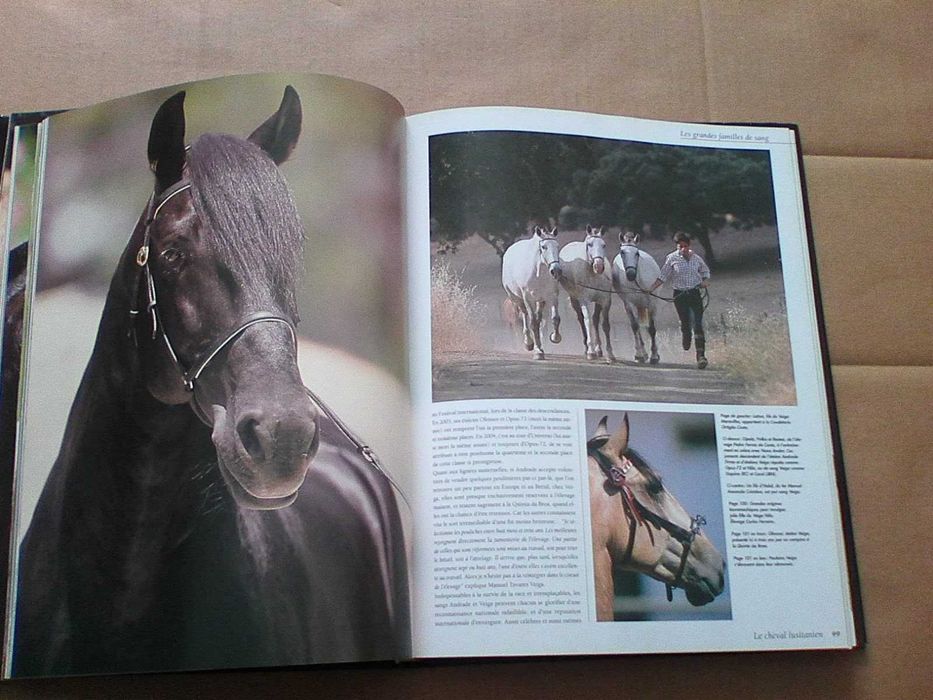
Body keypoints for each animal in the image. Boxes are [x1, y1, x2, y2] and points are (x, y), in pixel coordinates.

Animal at [501, 225, 562, 359]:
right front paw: (538, 351)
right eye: (544, 247)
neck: (539, 273)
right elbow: (533, 322)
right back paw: (529, 343)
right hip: (517, 299)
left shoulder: (552, 295)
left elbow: (555, 318)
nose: (556, 270)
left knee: (539, 319)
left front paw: (555, 337)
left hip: (540, 300)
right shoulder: (528, 298)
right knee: (525, 316)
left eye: (557, 246)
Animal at [558, 225, 614, 363]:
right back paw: (587, 347)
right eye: (589, 244)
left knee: (595, 319)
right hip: (574, 298)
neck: (593, 275)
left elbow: (605, 324)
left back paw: (599, 349)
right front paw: (590, 351)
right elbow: (587, 320)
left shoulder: (605, 301)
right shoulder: (584, 300)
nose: (599, 266)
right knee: (581, 319)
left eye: (604, 245)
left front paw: (610, 354)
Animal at [612, 230, 661, 364]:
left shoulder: (652, 303)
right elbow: (635, 326)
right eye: (622, 252)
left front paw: (655, 356)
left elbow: (652, 328)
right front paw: (639, 355)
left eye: (636, 253)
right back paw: (643, 354)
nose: (630, 274)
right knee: (637, 325)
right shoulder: (628, 303)